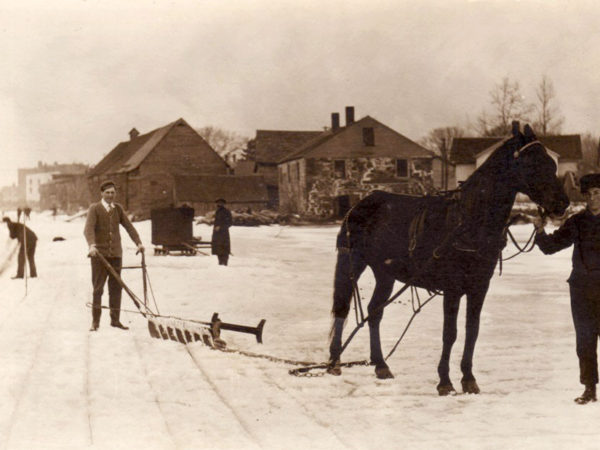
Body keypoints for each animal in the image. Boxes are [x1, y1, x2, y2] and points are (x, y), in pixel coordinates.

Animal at [328, 122, 568, 394]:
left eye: (551, 163)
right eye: (531, 163)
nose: (562, 203)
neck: (469, 222)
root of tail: (361, 203)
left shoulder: (478, 286)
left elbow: (472, 331)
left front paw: (469, 379)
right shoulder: (452, 288)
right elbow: (449, 333)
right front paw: (445, 381)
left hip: (385, 273)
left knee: (374, 312)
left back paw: (380, 365)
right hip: (352, 261)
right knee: (342, 307)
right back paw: (335, 362)